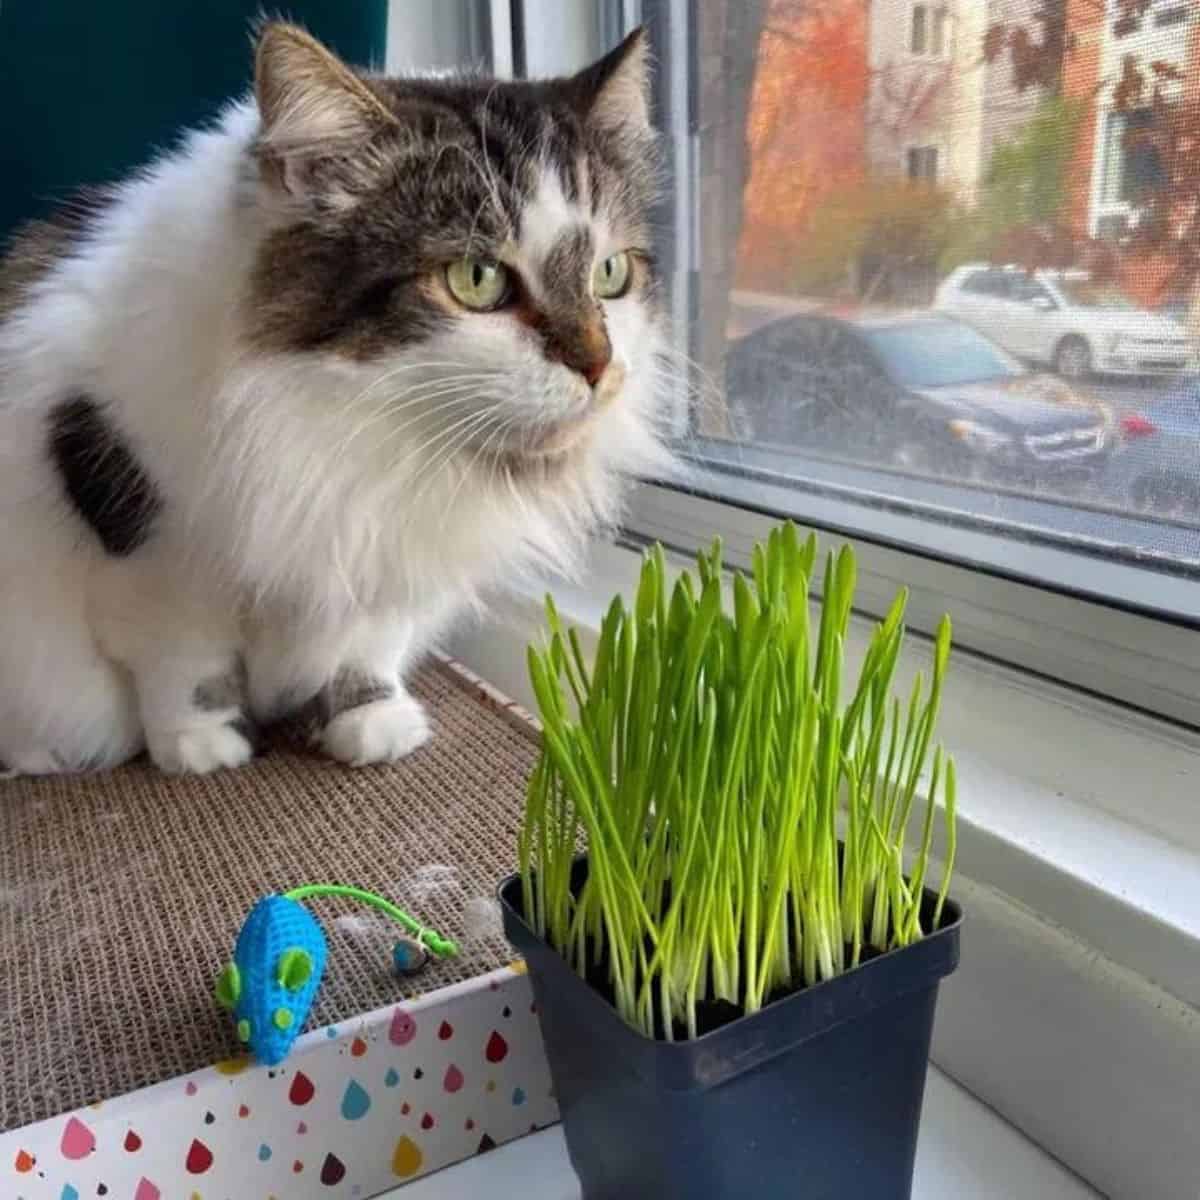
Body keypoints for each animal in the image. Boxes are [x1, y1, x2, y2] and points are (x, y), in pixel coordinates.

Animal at [0, 25, 672, 777]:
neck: (351, 425)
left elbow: (364, 651)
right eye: (476, 279)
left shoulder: (389, 546)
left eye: (610, 274)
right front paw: (202, 747)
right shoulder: (145, 527)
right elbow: (185, 663)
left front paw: (370, 724)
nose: (598, 364)